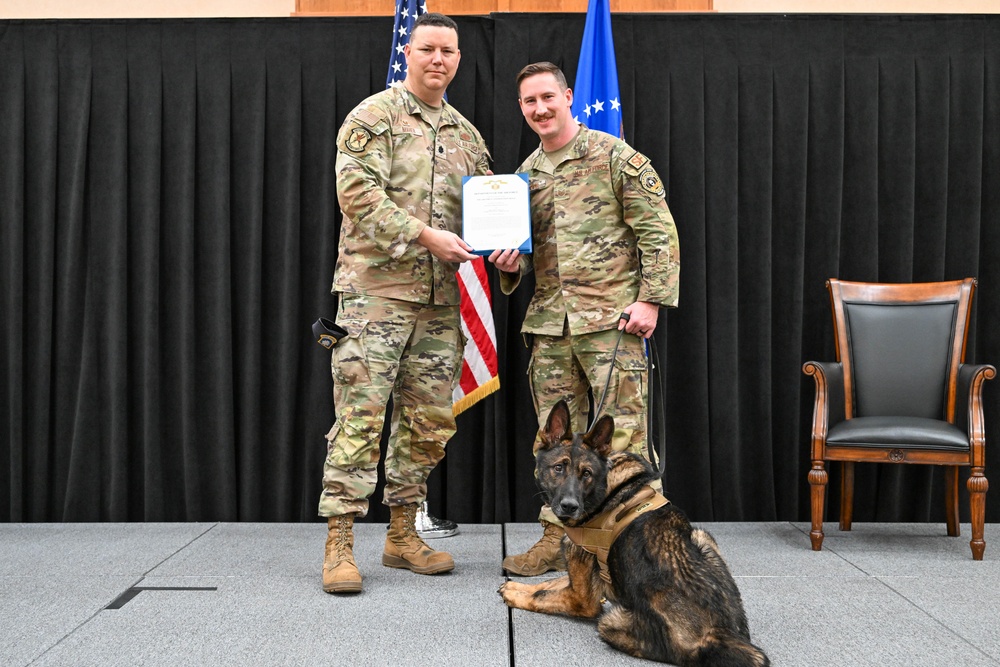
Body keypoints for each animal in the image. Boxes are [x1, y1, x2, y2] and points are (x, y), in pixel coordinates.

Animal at [496, 402, 768, 667]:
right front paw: (516, 586)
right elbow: (550, 582)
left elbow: (543, 595)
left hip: (611, 622)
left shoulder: (581, 599)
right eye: (559, 468)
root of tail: (718, 635)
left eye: (586, 474)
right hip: (701, 537)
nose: (570, 507)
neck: (604, 487)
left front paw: (516, 595)